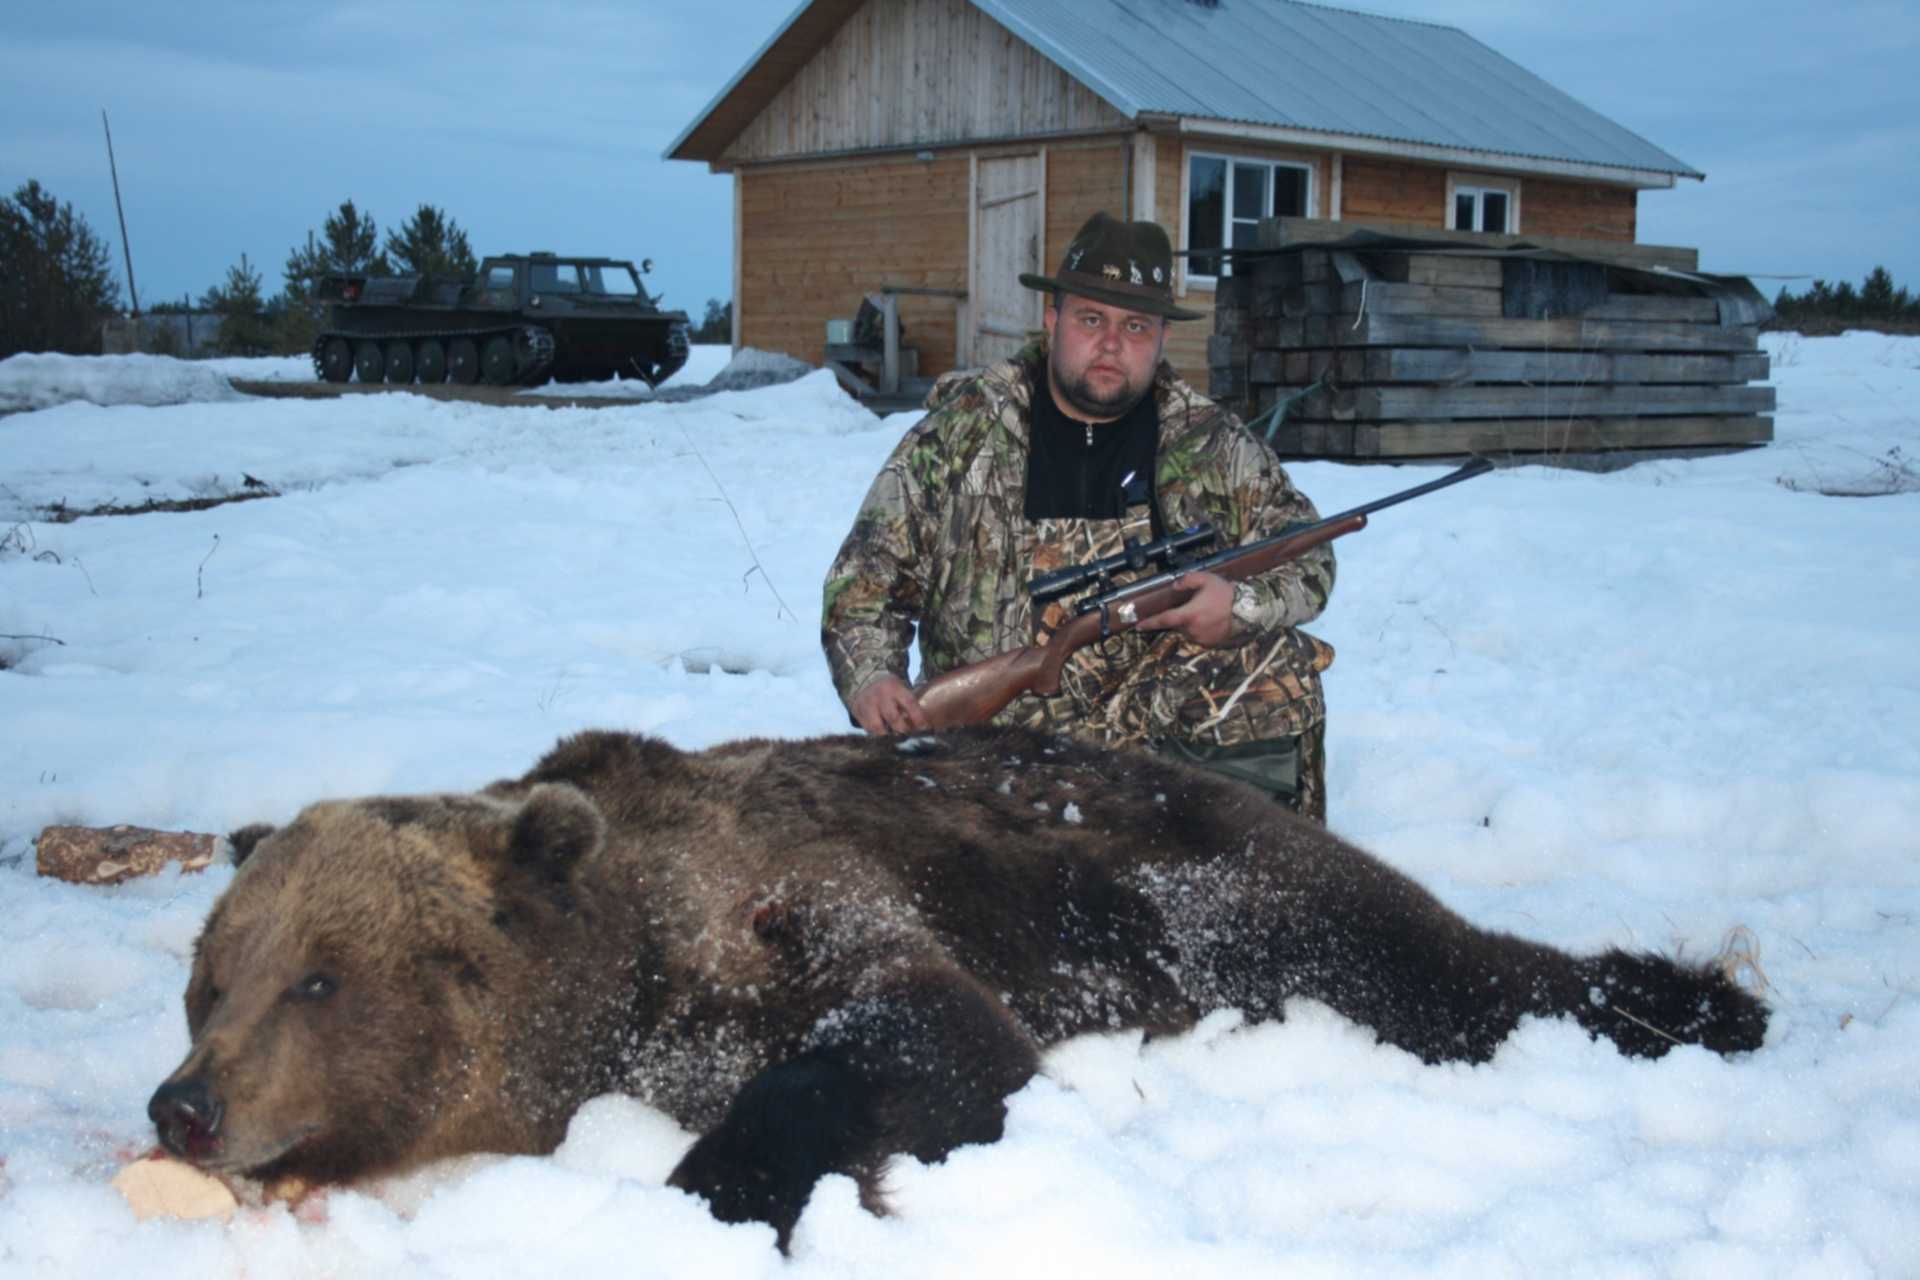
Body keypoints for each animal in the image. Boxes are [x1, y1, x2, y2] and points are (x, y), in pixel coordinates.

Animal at [149, 725, 1766, 1243]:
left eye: (320, 979)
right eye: (208, 978)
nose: (184, 1108)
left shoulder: (797, 903)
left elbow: (924, 1036)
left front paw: (718, 1190)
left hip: (1220, 890)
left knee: (1433, 971)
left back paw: (1698, 1000)